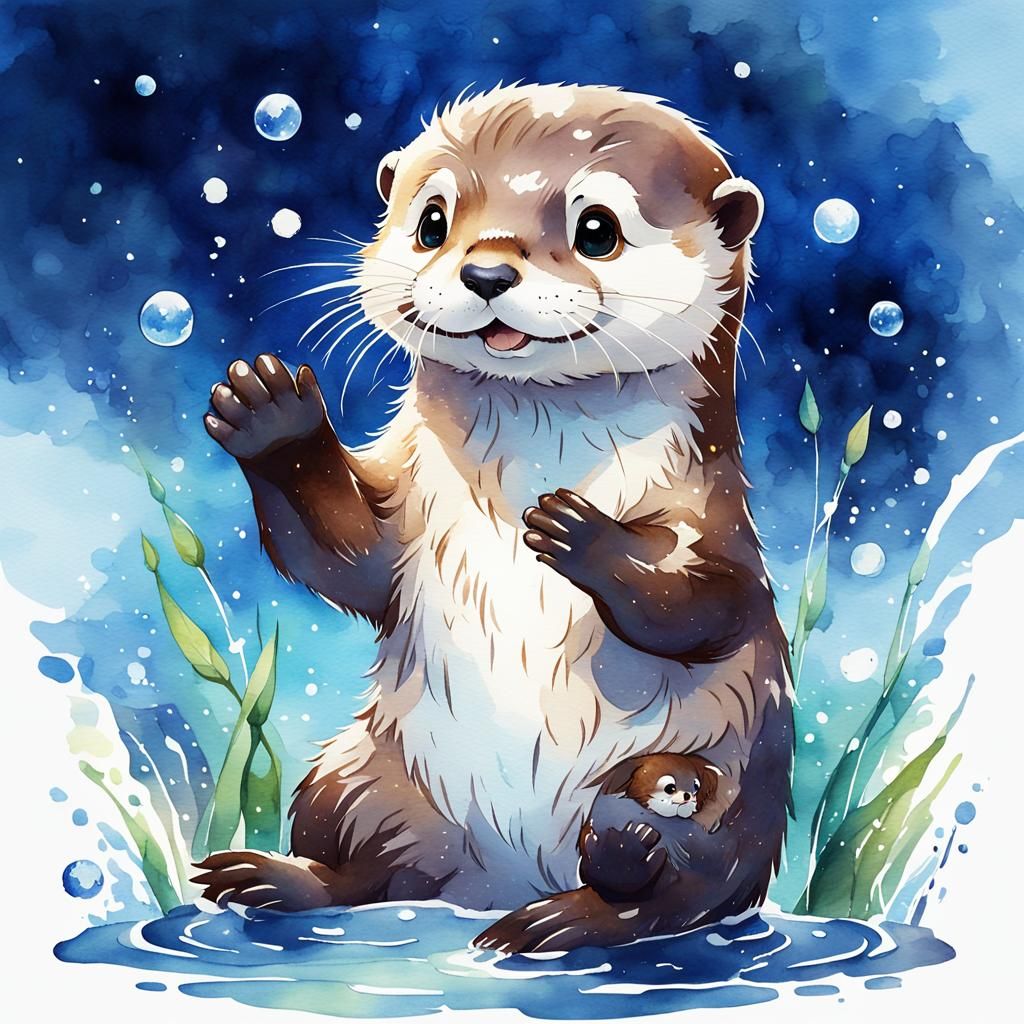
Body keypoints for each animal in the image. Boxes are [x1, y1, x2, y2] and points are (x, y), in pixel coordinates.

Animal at [193, 83, 793, 954]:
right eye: (432, 221)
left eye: (597, 229)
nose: (484, 270)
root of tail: (493, 885)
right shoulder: (408, 507)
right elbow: (349, 557)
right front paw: (273, 415)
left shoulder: (711, 517)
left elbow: (708, 603)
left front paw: (581, 534)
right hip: (360, 776)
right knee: (363, 872)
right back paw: (273, 879)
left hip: (725, 799)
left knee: (677, 896)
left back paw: (571, 908)